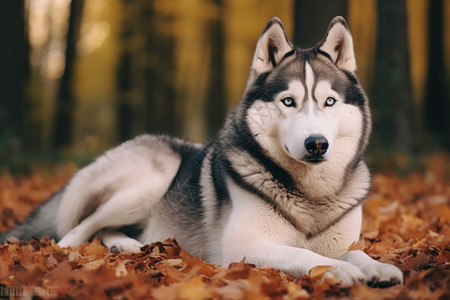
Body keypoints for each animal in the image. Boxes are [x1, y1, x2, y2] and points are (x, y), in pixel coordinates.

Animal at [1, 17, 402, 288]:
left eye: (329, 101)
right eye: (289, 101)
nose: (317, 143)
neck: (310, 194)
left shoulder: (340, 240)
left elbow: (355, 251)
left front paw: (375, 266)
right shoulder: (242, 247)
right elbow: (305, 254)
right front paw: (340, 270)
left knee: (106, 230)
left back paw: (128, 245)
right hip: (151, 179)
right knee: (76, 230)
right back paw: (77, 251)